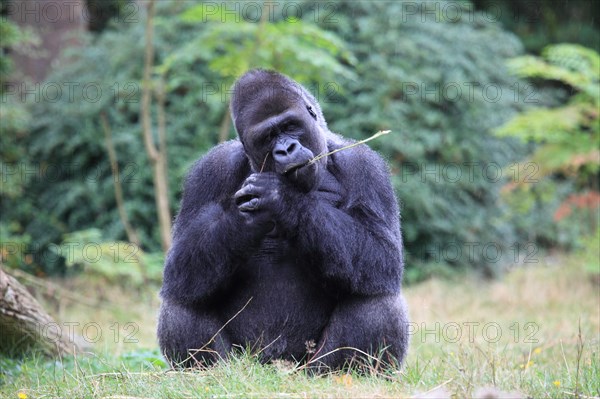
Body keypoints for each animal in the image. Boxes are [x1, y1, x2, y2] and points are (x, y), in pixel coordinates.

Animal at [156, 69, 408, 372]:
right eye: (268, 136)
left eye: (290, 126)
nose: (286, 149)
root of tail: (278, 367)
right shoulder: (210, 169)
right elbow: (179, 264)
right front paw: (246, 218)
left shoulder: (365, 165)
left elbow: (381, 254)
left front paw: (280, 198)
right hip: (245, 360)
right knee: (183, 297)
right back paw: (209, 372)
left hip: (310, 368)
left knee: (377, 299)